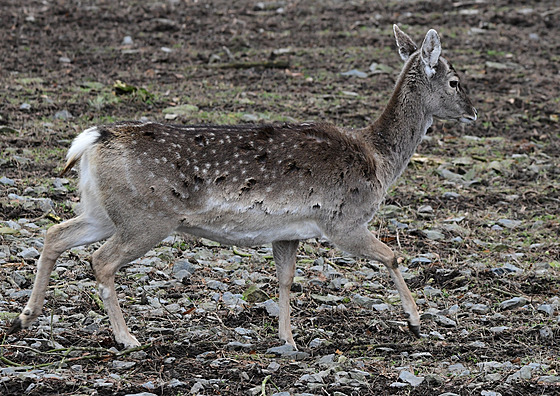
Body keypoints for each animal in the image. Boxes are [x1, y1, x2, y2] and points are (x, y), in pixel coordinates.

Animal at [7, 26, 476, 350]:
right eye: (454, 81)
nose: (473, 112)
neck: (378, 160)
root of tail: (93, 140)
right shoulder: (344, 221)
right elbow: (393, 255)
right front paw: (415, 321)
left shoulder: (289, 232)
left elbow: (285, 281)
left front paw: (287, 339)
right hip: (147, 217)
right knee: (100, 261)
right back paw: (127, 338)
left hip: (103, 210)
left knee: (54, 233)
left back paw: (24, 317)